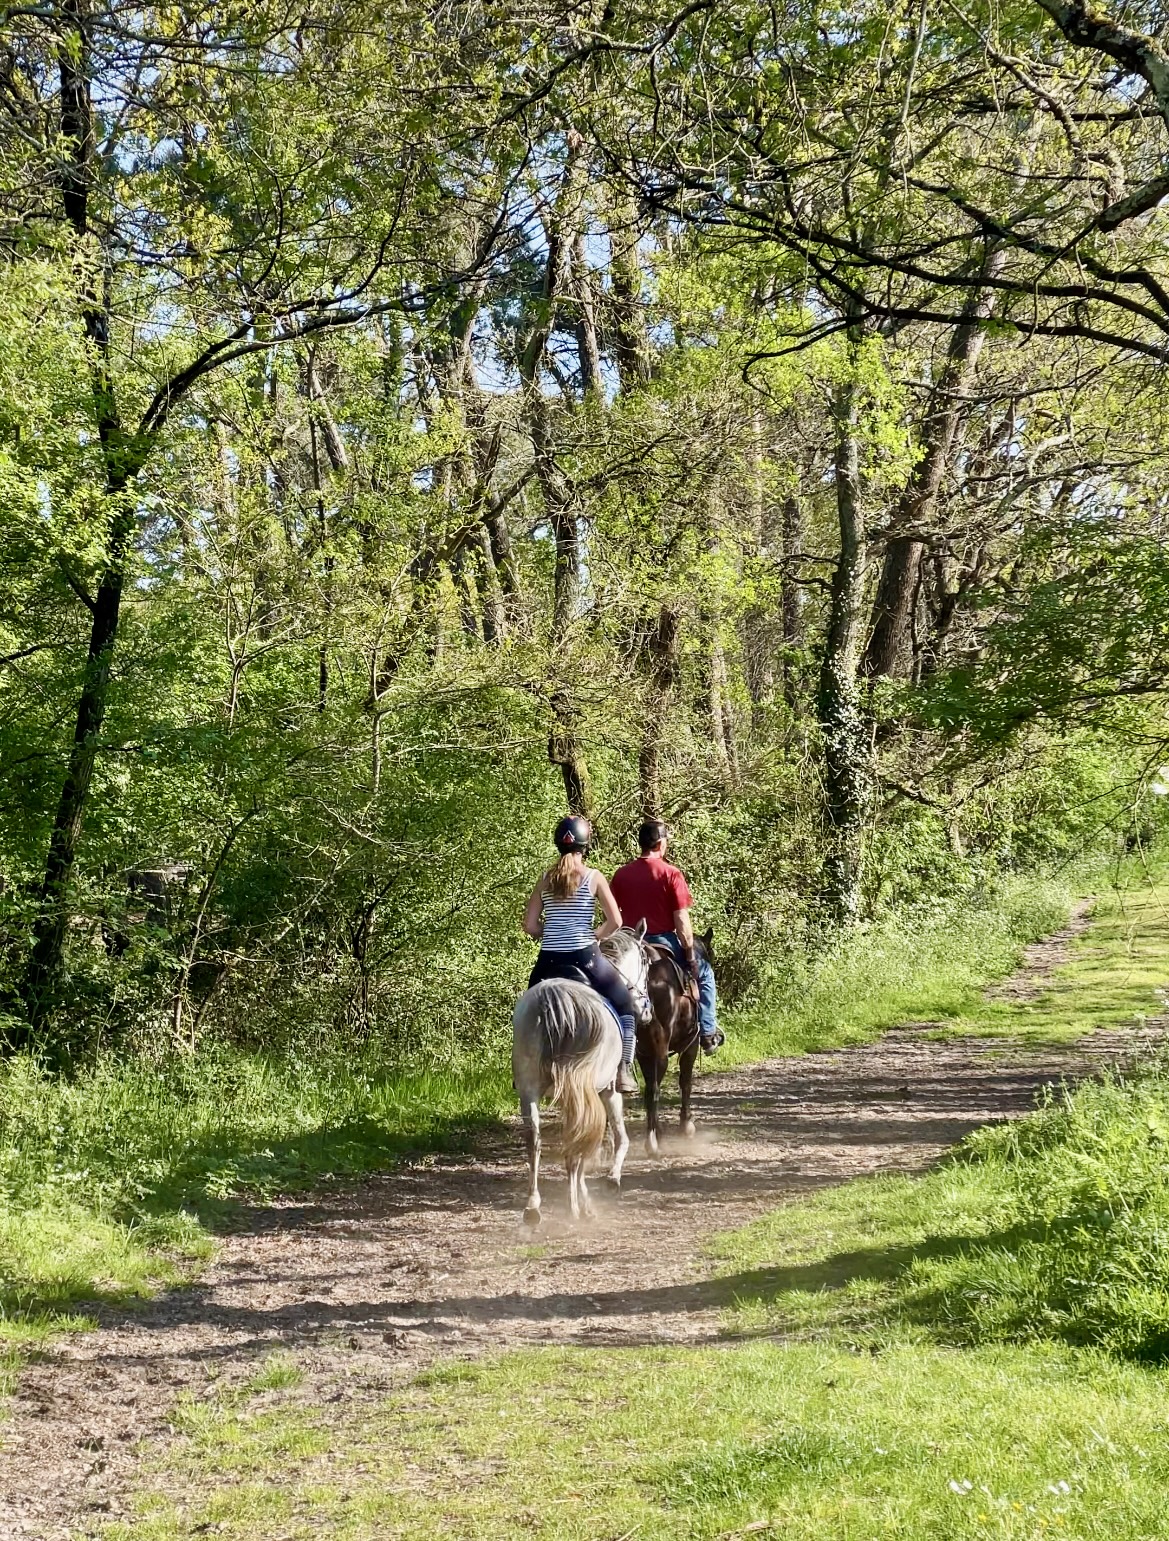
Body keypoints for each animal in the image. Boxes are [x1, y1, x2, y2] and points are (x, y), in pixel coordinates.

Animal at [636, 928, 714, 1154]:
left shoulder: (643, 1054)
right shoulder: (692, 1044)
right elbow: (685, 1082)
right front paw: (686, 1125)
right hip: (660, 1050)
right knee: (653, 1090)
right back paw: (652, 1143)